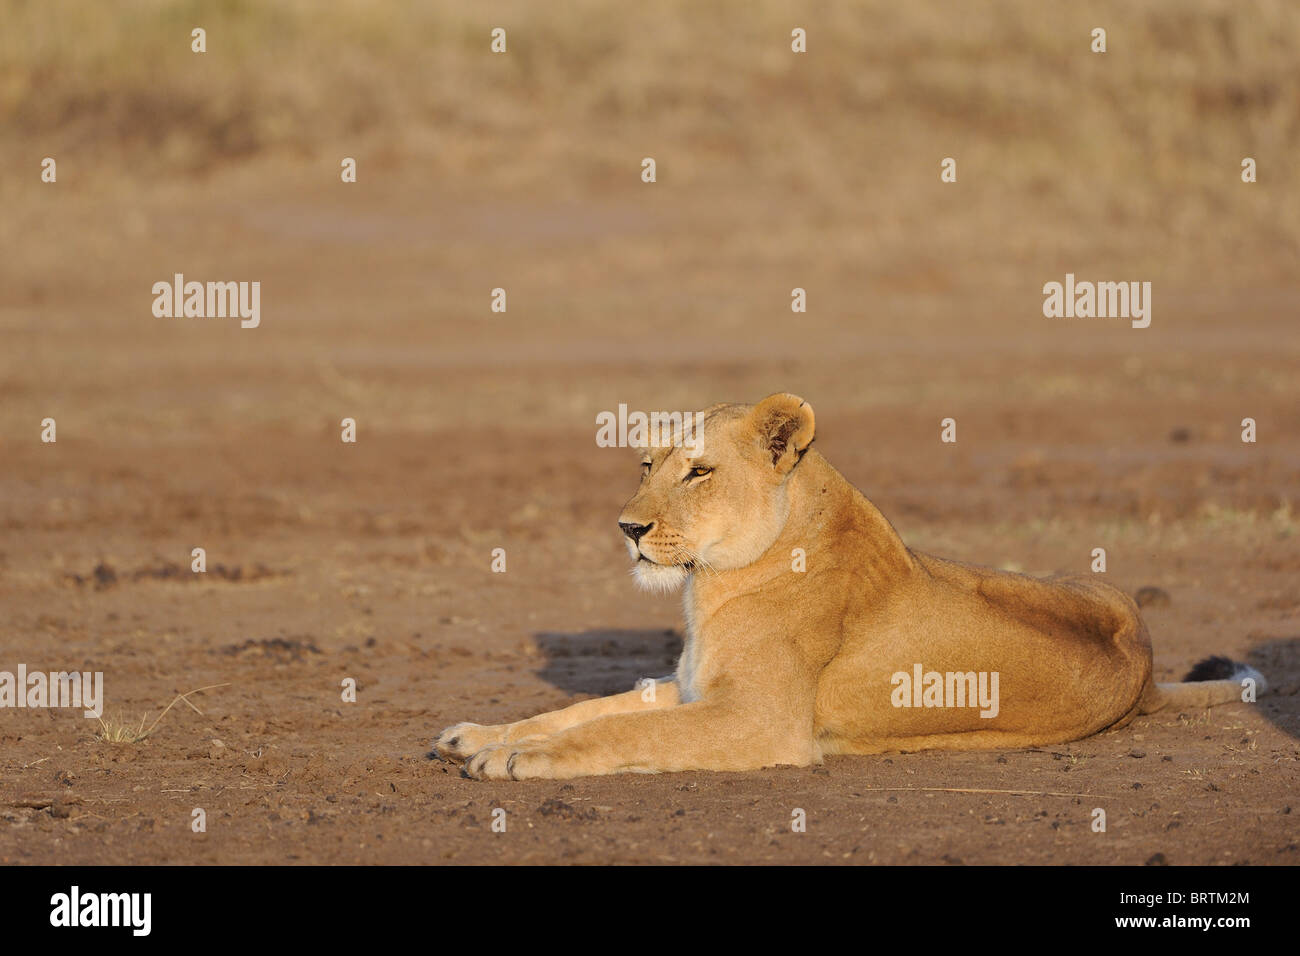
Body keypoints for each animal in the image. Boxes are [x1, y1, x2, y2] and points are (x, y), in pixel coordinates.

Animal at [432, 393, 1266, 780]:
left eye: (698, 472)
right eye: (646, 465)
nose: (627, 528)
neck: (711, 587)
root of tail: (1150, 672)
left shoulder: (762, 723)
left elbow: (621, 732)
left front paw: (514, 760)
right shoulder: (696, 688)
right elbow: (582, 709)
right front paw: (478, 735)